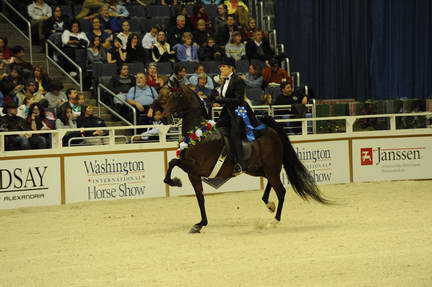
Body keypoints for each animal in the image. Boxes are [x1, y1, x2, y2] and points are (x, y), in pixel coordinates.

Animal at [161, 82, 328, 233]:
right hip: (258, 169)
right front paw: (200, 224)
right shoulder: (194, 174)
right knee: (270, 183)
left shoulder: (197, 168)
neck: (199, 135)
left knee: (281, 191)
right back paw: (269, 204)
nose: (164, 118)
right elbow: (200, 198)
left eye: (176, 96)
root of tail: (270, 130)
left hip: (271, 167)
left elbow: (173, 162)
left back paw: (274, 221)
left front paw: (175, 182)